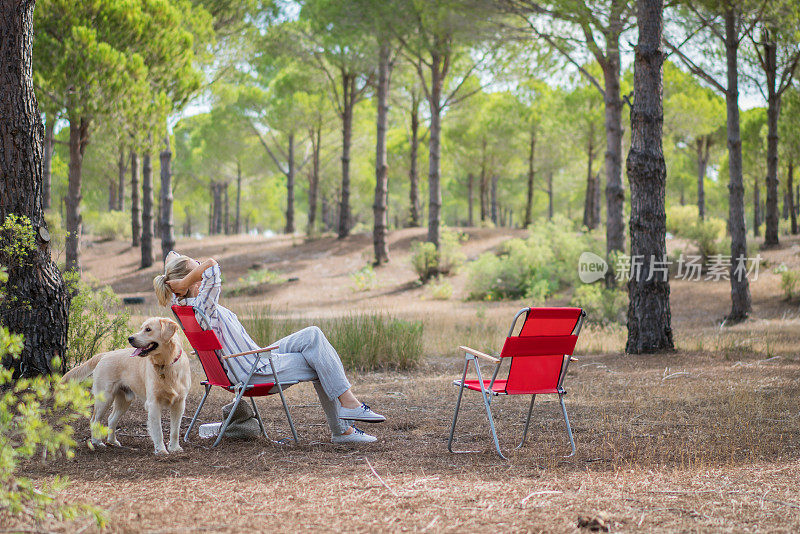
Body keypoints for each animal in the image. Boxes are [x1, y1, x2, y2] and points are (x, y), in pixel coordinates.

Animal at [63, 318, 191, 456]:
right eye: (141, 328)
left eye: (148, 329)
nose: (130, 338)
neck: (166, 364)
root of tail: (105, 354)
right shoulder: (153, 403)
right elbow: (158, 431)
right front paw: (161, 450)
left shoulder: (179, 403)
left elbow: (175, 430)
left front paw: (175, 448)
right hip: (105, 398)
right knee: (94, 420)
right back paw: (97, 442)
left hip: (124, 400)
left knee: (111, 419)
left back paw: (112, 441)